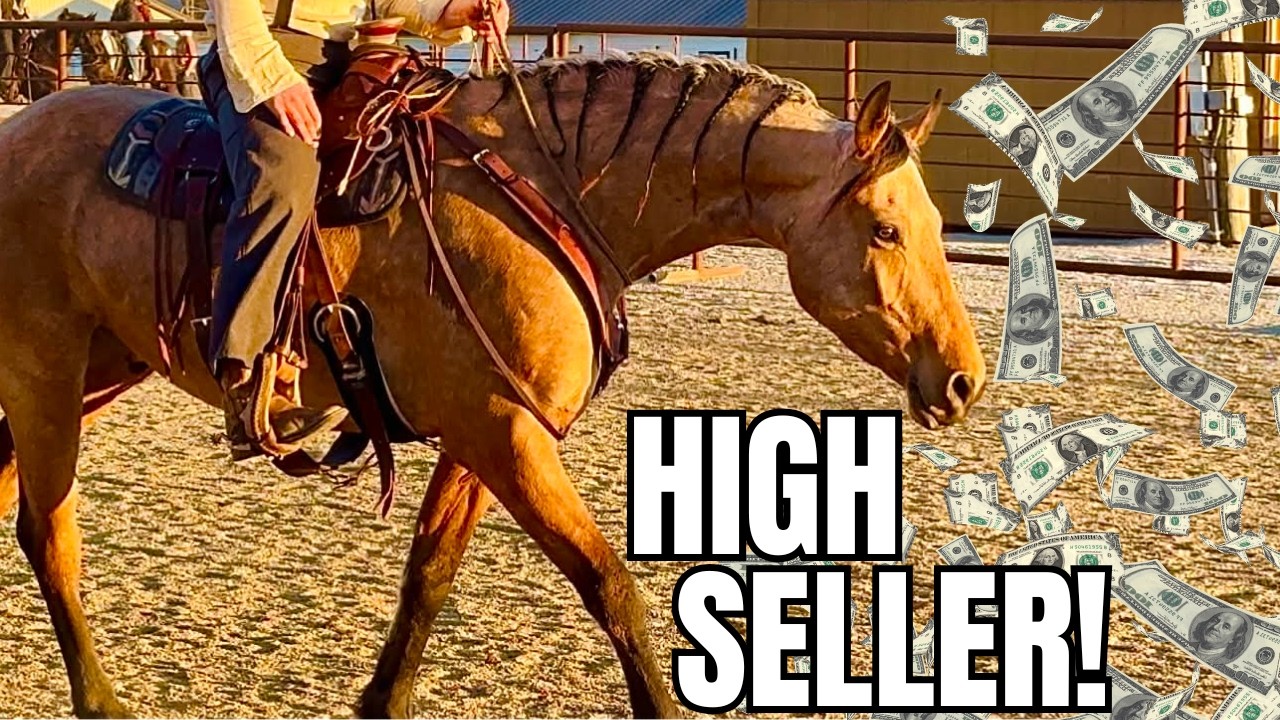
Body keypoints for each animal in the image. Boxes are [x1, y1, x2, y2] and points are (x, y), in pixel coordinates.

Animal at [0, 53, 986, 717]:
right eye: (885, 229)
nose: (964, 380)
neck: (549, 191)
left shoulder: (485, 435)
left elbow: (430, 573)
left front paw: (382, 701)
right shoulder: (503, 433)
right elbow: (607, 582)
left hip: (95, 372)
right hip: (46, 368)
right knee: (48, 531)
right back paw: (100, 698)